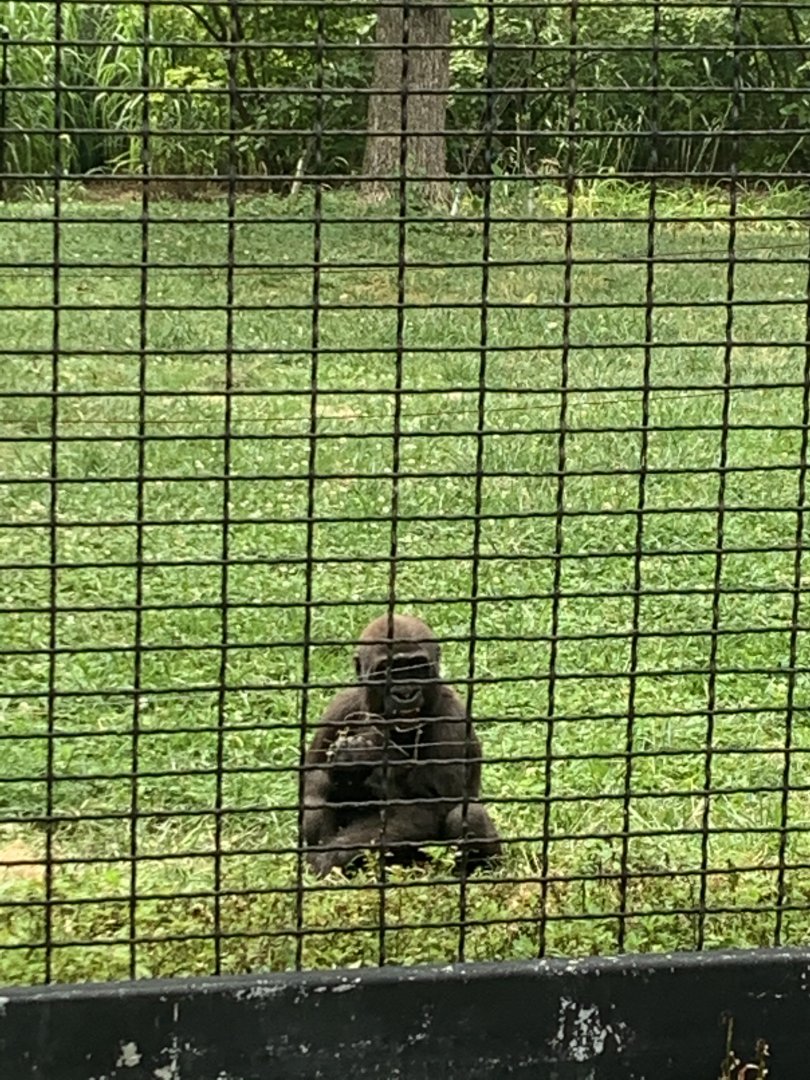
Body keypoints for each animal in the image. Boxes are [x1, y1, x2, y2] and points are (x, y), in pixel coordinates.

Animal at [302, 613, 502, 878]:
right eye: (388, 670)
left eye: (416, 667)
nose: (405, 694)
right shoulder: (339, 708)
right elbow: (311, 778)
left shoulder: (452, 718)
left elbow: (438, 806)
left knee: (466, 815)